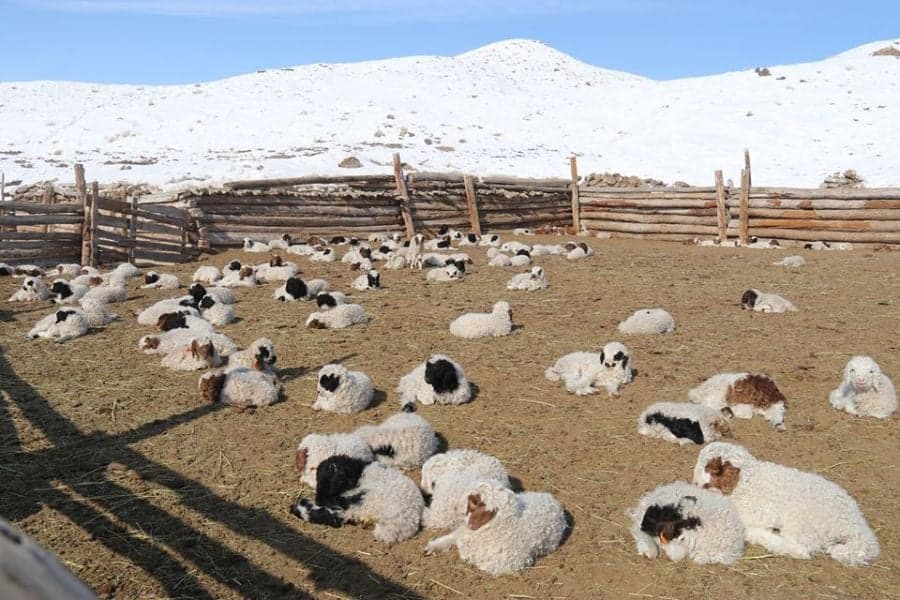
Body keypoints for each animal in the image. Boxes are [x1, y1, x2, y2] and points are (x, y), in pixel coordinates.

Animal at [424, 480, 567, 575]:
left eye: (473, 501)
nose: (454, 507)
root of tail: (552, 499)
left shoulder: (509, 563)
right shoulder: (462, 533)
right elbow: (449, 538)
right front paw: (431, 547)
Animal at [694, 442, 880, 566]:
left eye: (710, 468)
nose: (695, 483)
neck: (746, 483)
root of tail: (854, 524)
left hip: (800, 523)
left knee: (801, 549)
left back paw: (757, 534)